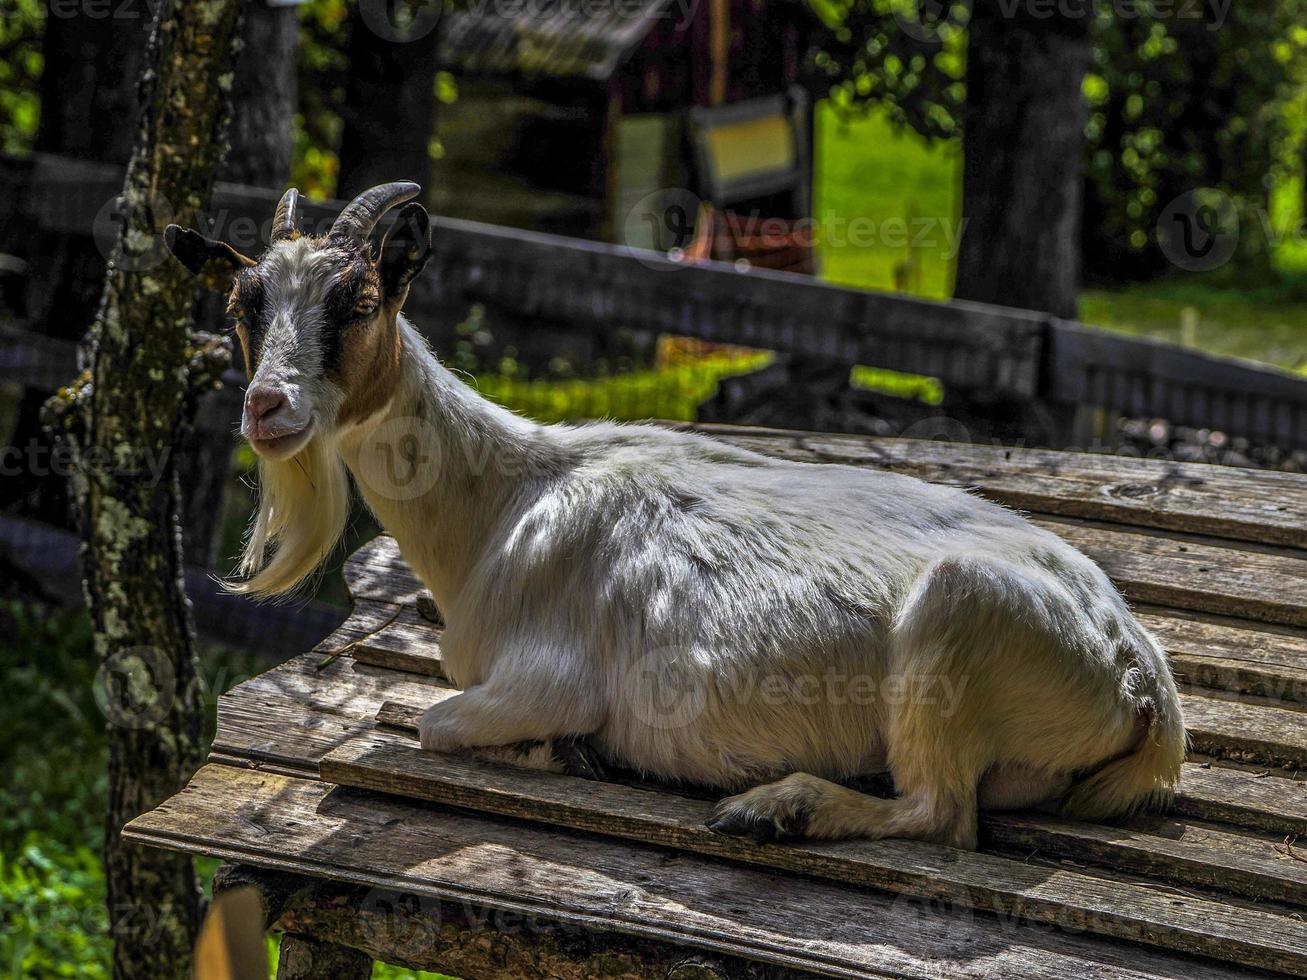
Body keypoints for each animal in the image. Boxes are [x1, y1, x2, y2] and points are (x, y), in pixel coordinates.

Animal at [163, 184, 1186, 851]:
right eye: (241, 302)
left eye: (362, 299)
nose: (267, 407)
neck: (501, 507)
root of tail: (1139, 675)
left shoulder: (546, 677)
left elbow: (435, 723)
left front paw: (561, 750)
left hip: (954, 624)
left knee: (943, 816)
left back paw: (774, 809)